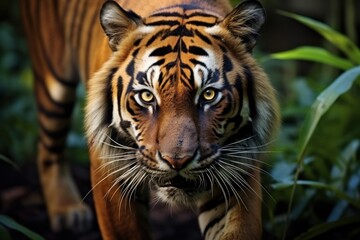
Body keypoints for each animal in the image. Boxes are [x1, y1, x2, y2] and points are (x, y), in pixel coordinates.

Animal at [19, 0, 280, 239]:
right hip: (53, 82)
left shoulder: (238, 173)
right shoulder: (110, 173)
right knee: (48, 147)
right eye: (147, 96)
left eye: (208, 94)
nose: (177, 161)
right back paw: (68, 212)